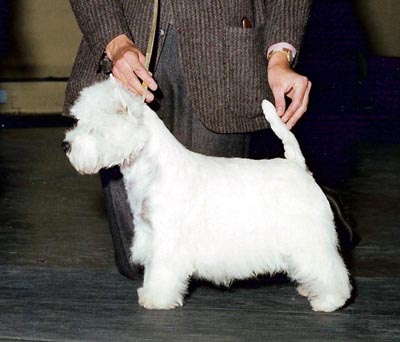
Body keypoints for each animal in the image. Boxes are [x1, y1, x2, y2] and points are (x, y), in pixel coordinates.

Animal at [62, 77, 350, 312]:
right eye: (78, 122)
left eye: (94, 129)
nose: (66, 145)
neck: (152, 168)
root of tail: (298, 166)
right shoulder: (149, 233)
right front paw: (147, 292)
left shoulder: (167, 240)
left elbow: (162, 271)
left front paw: (156, 300)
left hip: (308, 237)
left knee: (330, 268)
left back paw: (329, 301)